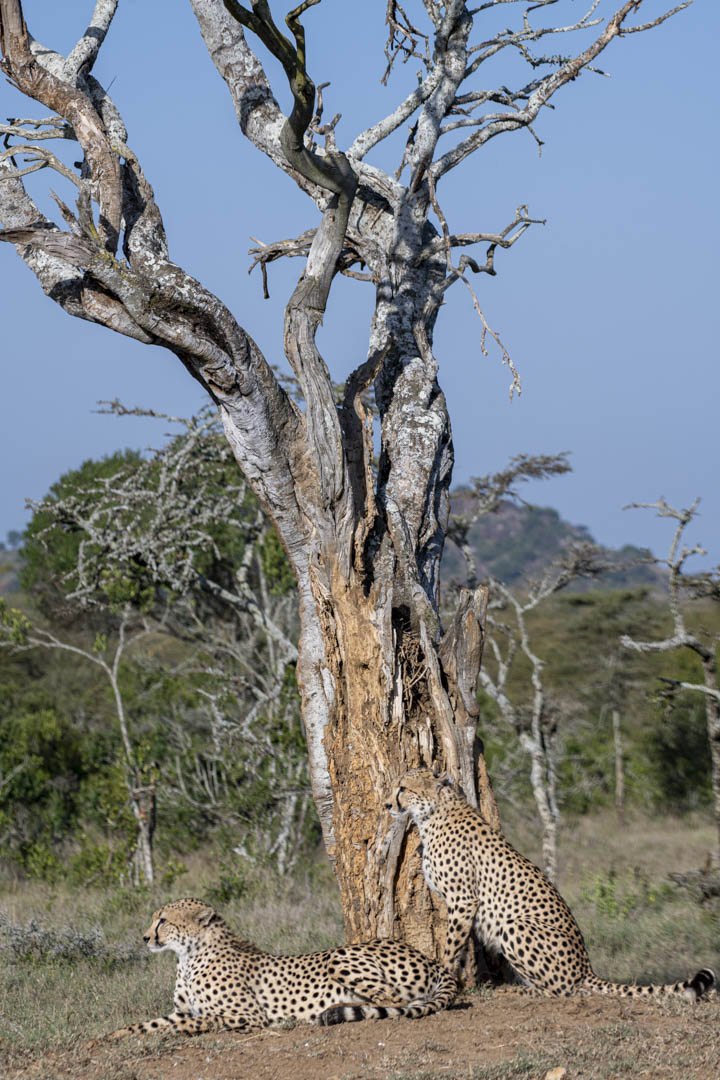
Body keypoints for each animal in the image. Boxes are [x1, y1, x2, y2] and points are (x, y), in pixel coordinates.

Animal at [101, 897, 457, 1039]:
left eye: (162, 920)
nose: (145, 937)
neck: (188, 957)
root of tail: (429, 957)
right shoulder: (181, 1009)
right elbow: (144, 1024)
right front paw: (107, 1038)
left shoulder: (248, 1016)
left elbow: (190, 1023)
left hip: (339, 956)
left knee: (398, 1001)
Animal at [387, 768, 715, 1001]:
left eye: (403, 787)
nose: (388, 803)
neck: (434, 814)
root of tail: (586, 968)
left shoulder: (464, 899)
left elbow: (451, 945)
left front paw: (442, 977)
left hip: (515, 925)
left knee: (562, 990)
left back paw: (518, 990)